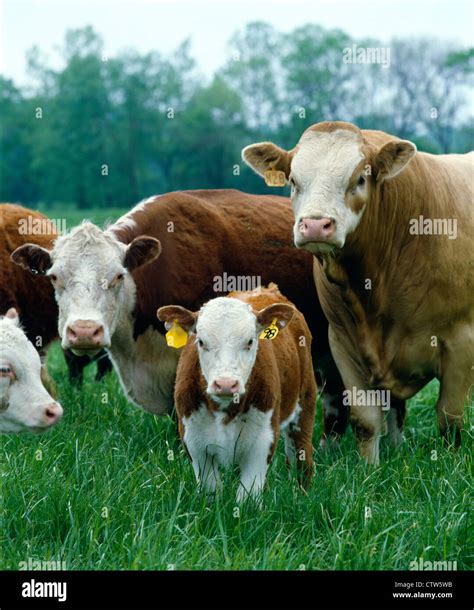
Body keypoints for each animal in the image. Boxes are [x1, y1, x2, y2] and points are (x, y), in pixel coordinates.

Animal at [157, 282, 316, 498]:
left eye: (250, 341)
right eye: (201, 341)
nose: (225, 384)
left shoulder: (262, 441)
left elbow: (248, 495)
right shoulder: (194, 441)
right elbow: (210, 490)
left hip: (305, 399)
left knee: (301, 457)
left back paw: (300, 496)